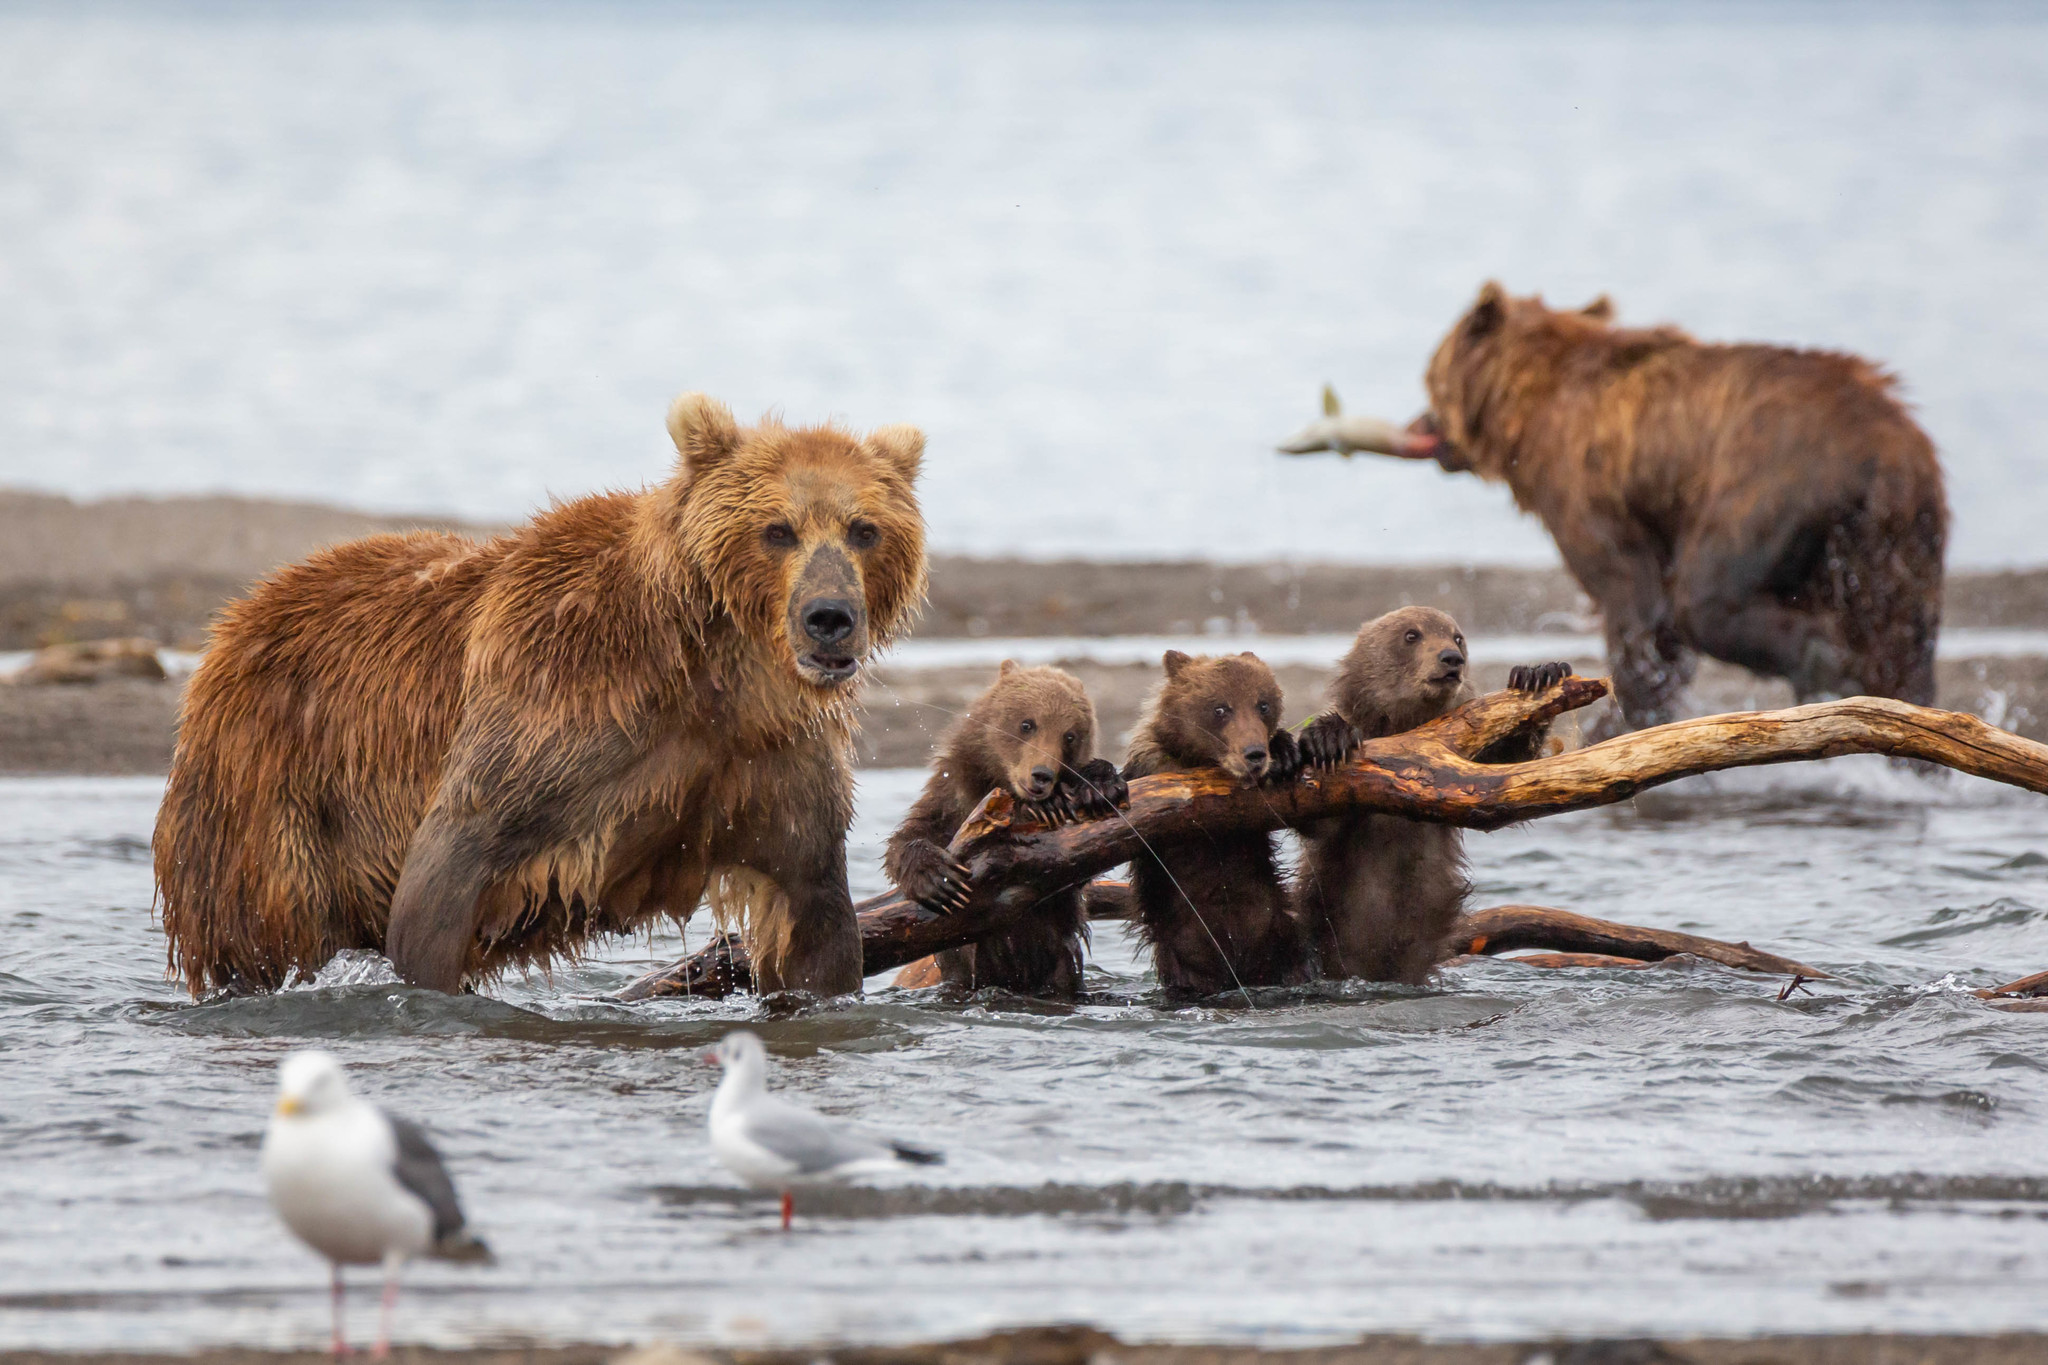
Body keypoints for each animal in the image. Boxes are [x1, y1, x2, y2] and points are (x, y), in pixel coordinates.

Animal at [155, 388, 925, 998]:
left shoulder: (766, 761)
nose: (829, 616)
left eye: (864, 528)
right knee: (252, 930)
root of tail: (241, 614)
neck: (710, 666)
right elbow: (441, 882)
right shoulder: (553, 718)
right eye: (777, 529)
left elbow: (812, 919)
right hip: (267, 793)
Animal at [884, 667, 1130, 998]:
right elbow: (912, 834)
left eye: (1070, 736)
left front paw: (1098, 786)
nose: (1042, 775)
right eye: (1027, 723)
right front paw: (937, 879)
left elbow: (1081, 869)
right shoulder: (951, 803)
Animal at [1122, 650, 1310, 994]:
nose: (1254, 753)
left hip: (1281, 941)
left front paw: (1284, 749)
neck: (1203, 762)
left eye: (1263, 704)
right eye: (1220, 708)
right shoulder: (1148, 766)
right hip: (1186, 959)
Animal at [1294, 609, 1564, 982]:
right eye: (1411, 635)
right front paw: (1328, 738)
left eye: (1457, 636)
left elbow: (1505, 777)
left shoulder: (1464, 766)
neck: (1406, 728)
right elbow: (1324, 820)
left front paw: (1537, 675)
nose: (1451, 658)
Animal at [1400, 282, 1941, 736]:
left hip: (1767, 485)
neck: (1527, 413)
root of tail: (1889, 450)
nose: (1417, 424)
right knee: (1900, 640)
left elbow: (1637, 606)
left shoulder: (1590, 493)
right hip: (1899, 539)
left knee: (1707, 600)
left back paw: (1828, 670)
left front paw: (1619, 718)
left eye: (1429, 378)